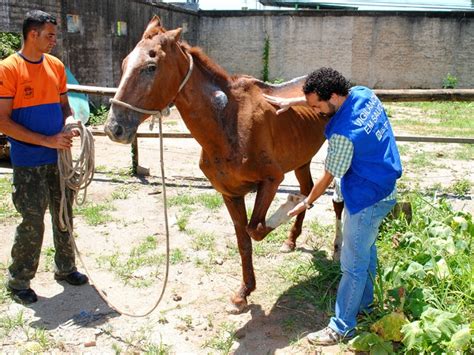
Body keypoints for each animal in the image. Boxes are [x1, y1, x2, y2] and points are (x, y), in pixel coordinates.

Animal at [103, 16, 342, 314]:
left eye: (150, 67)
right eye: (124, 63)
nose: (114, 128)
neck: (229, 121)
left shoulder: (271, 180)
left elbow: (256, 228)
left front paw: (286, 206)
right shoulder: (230, 193)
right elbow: (243, 241)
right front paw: (243, 293)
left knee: (335, 200)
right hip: (302, 158)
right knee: (309, 189)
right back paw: (291, 239)